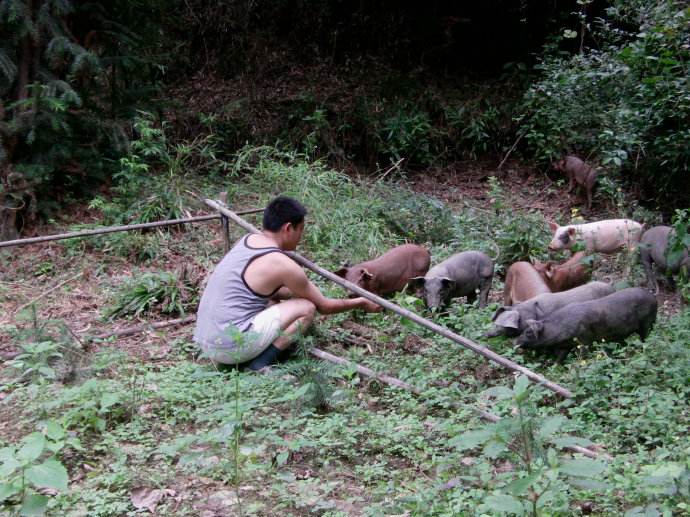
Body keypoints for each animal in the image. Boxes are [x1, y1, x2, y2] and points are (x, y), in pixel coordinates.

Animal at [516, 286, 656, 358]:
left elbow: (583, 356)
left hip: (647, 323)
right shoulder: (564, 346)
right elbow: (559, 358)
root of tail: (653, 297)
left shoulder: (584, 340)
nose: (515, 341)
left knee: (646, 338)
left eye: (528, 332)